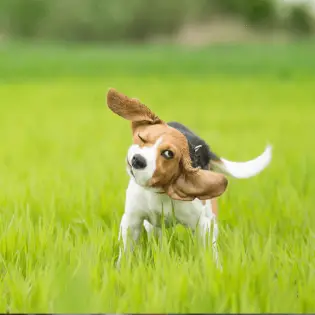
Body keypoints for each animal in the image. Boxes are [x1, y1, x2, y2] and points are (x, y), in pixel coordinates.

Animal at [107, 87, 272, 268]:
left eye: (168, 154)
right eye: (142, 138)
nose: (138, 160)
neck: (160, 191)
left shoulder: (202, 224)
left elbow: (209, 252)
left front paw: (215, 270)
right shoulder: (132, 220)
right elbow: (126, 251)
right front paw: (121, 269)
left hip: (211, 217)